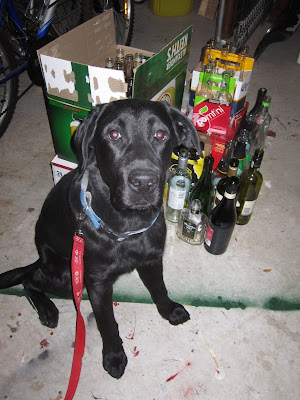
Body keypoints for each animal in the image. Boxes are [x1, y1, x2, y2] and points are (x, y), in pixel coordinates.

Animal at [1, 98, 200, 380]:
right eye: (113, 134)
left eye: (160, 135)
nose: (144, 183)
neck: (127, 223)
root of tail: (41, 257)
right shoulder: (97, 283)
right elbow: (107, 323)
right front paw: (114, 355)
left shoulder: (151, 260)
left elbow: (159, 288)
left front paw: (168, 309)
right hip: (67, 276)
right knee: (30, 279)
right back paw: (47, 309)